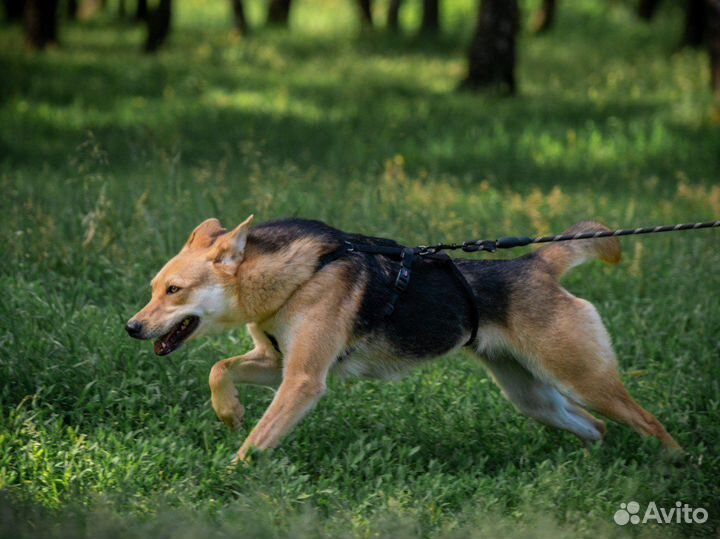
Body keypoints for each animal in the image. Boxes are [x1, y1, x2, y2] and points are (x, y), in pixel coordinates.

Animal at [125, 217, 680, 462]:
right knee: (595, 427)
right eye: (154, 288)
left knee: (649, 422)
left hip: (584, 378)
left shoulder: (302, 380)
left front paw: (232, 473)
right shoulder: (276, 361)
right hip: (533, 397)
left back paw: (676, 468)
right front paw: (229, 412)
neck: (295, 276)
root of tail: (535, 263)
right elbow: (218, 369)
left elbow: (258, 441)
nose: (131, 327)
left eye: (174, 291)